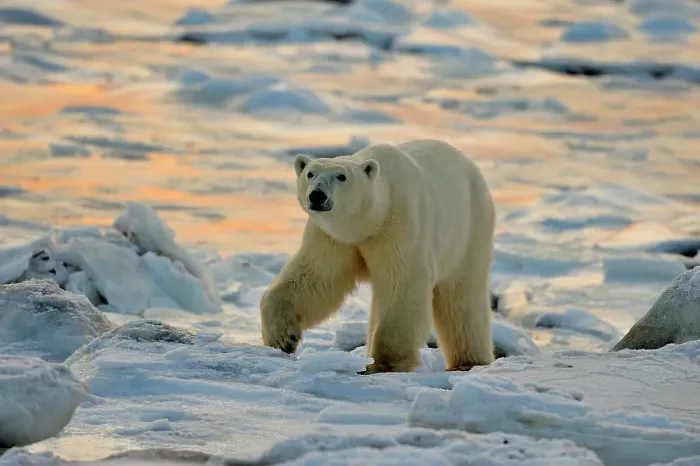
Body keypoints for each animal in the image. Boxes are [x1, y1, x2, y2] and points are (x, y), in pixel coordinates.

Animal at [259, 139, 496, 374]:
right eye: (310, 173)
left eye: (341, 176)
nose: (317, 195)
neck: (370, 223)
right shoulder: (334, 238)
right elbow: (315, 277)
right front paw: (284, 338)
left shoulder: (400, 226)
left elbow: (403, 283)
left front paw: (387, 362)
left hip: (469, 230)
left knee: (461, 297)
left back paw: (469, 361)